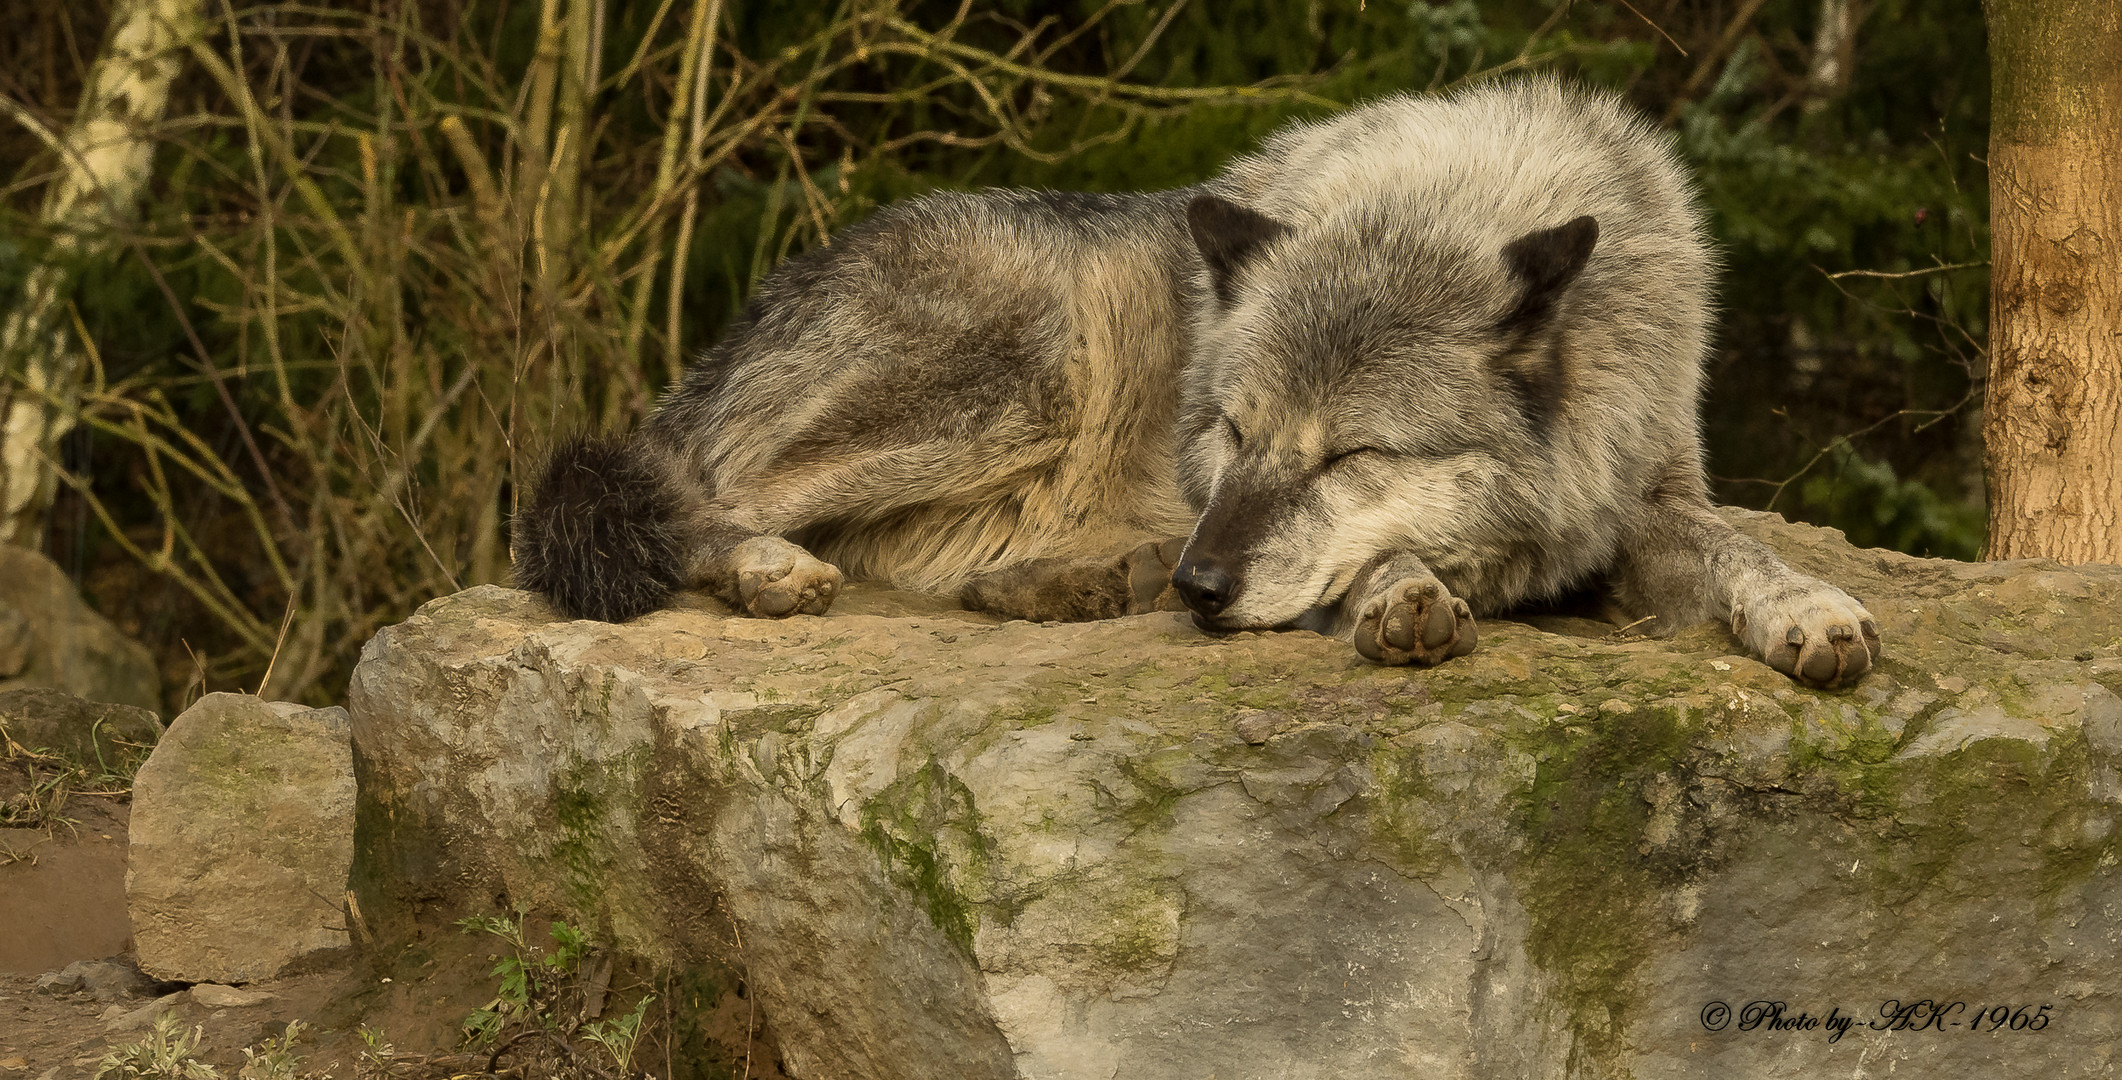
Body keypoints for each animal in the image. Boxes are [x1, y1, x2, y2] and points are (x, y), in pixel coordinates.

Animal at [513, 77, 1875, 683]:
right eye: (1229, 431)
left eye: (1351, 455)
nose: (1202, 587)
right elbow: (1381, 565)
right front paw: (1402, 593)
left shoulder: (1640, 497)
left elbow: (1740, 543)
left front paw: (1808, 608)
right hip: (1022, 376)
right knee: (686, 493)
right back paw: (769, 568)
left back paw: (1073, 583)